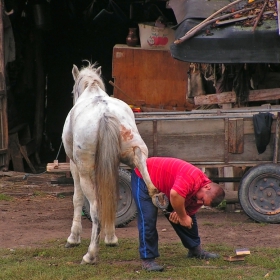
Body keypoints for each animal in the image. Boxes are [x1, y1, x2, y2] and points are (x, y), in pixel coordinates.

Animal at [62, 61, 159, 264]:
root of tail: (105, 114)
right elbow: (112, 197)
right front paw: (111, 237)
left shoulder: (75, 167)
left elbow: (77, 199)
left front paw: (73, 238)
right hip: (135, 152)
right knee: (148, 182)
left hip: (86, 172)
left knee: (96, 209)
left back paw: (90, 254)